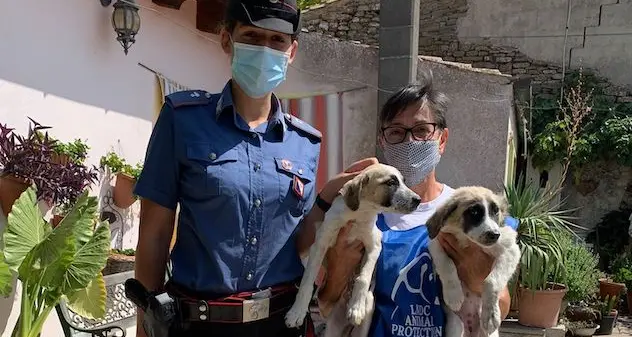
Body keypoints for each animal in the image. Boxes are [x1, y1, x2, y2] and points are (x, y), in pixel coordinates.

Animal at [286, 163, 420, 334]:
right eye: (391, 182)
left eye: (404, 181)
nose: (418, 200)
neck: (359, 215)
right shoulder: (320, 243)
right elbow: (307, 281)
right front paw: (296, 312)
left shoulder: (374, 245)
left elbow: (363, 278)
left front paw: (356, 309)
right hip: (332, 328)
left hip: (365, 317)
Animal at [428, 185, 520, 336]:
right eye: (474, 211)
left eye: (496, 211)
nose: (495, 235)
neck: (467, 240)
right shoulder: (436, 243)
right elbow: (447, 265)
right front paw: (454, 295)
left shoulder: (510, 250)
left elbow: (491, 281)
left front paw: (490, 316)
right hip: (456, 326)